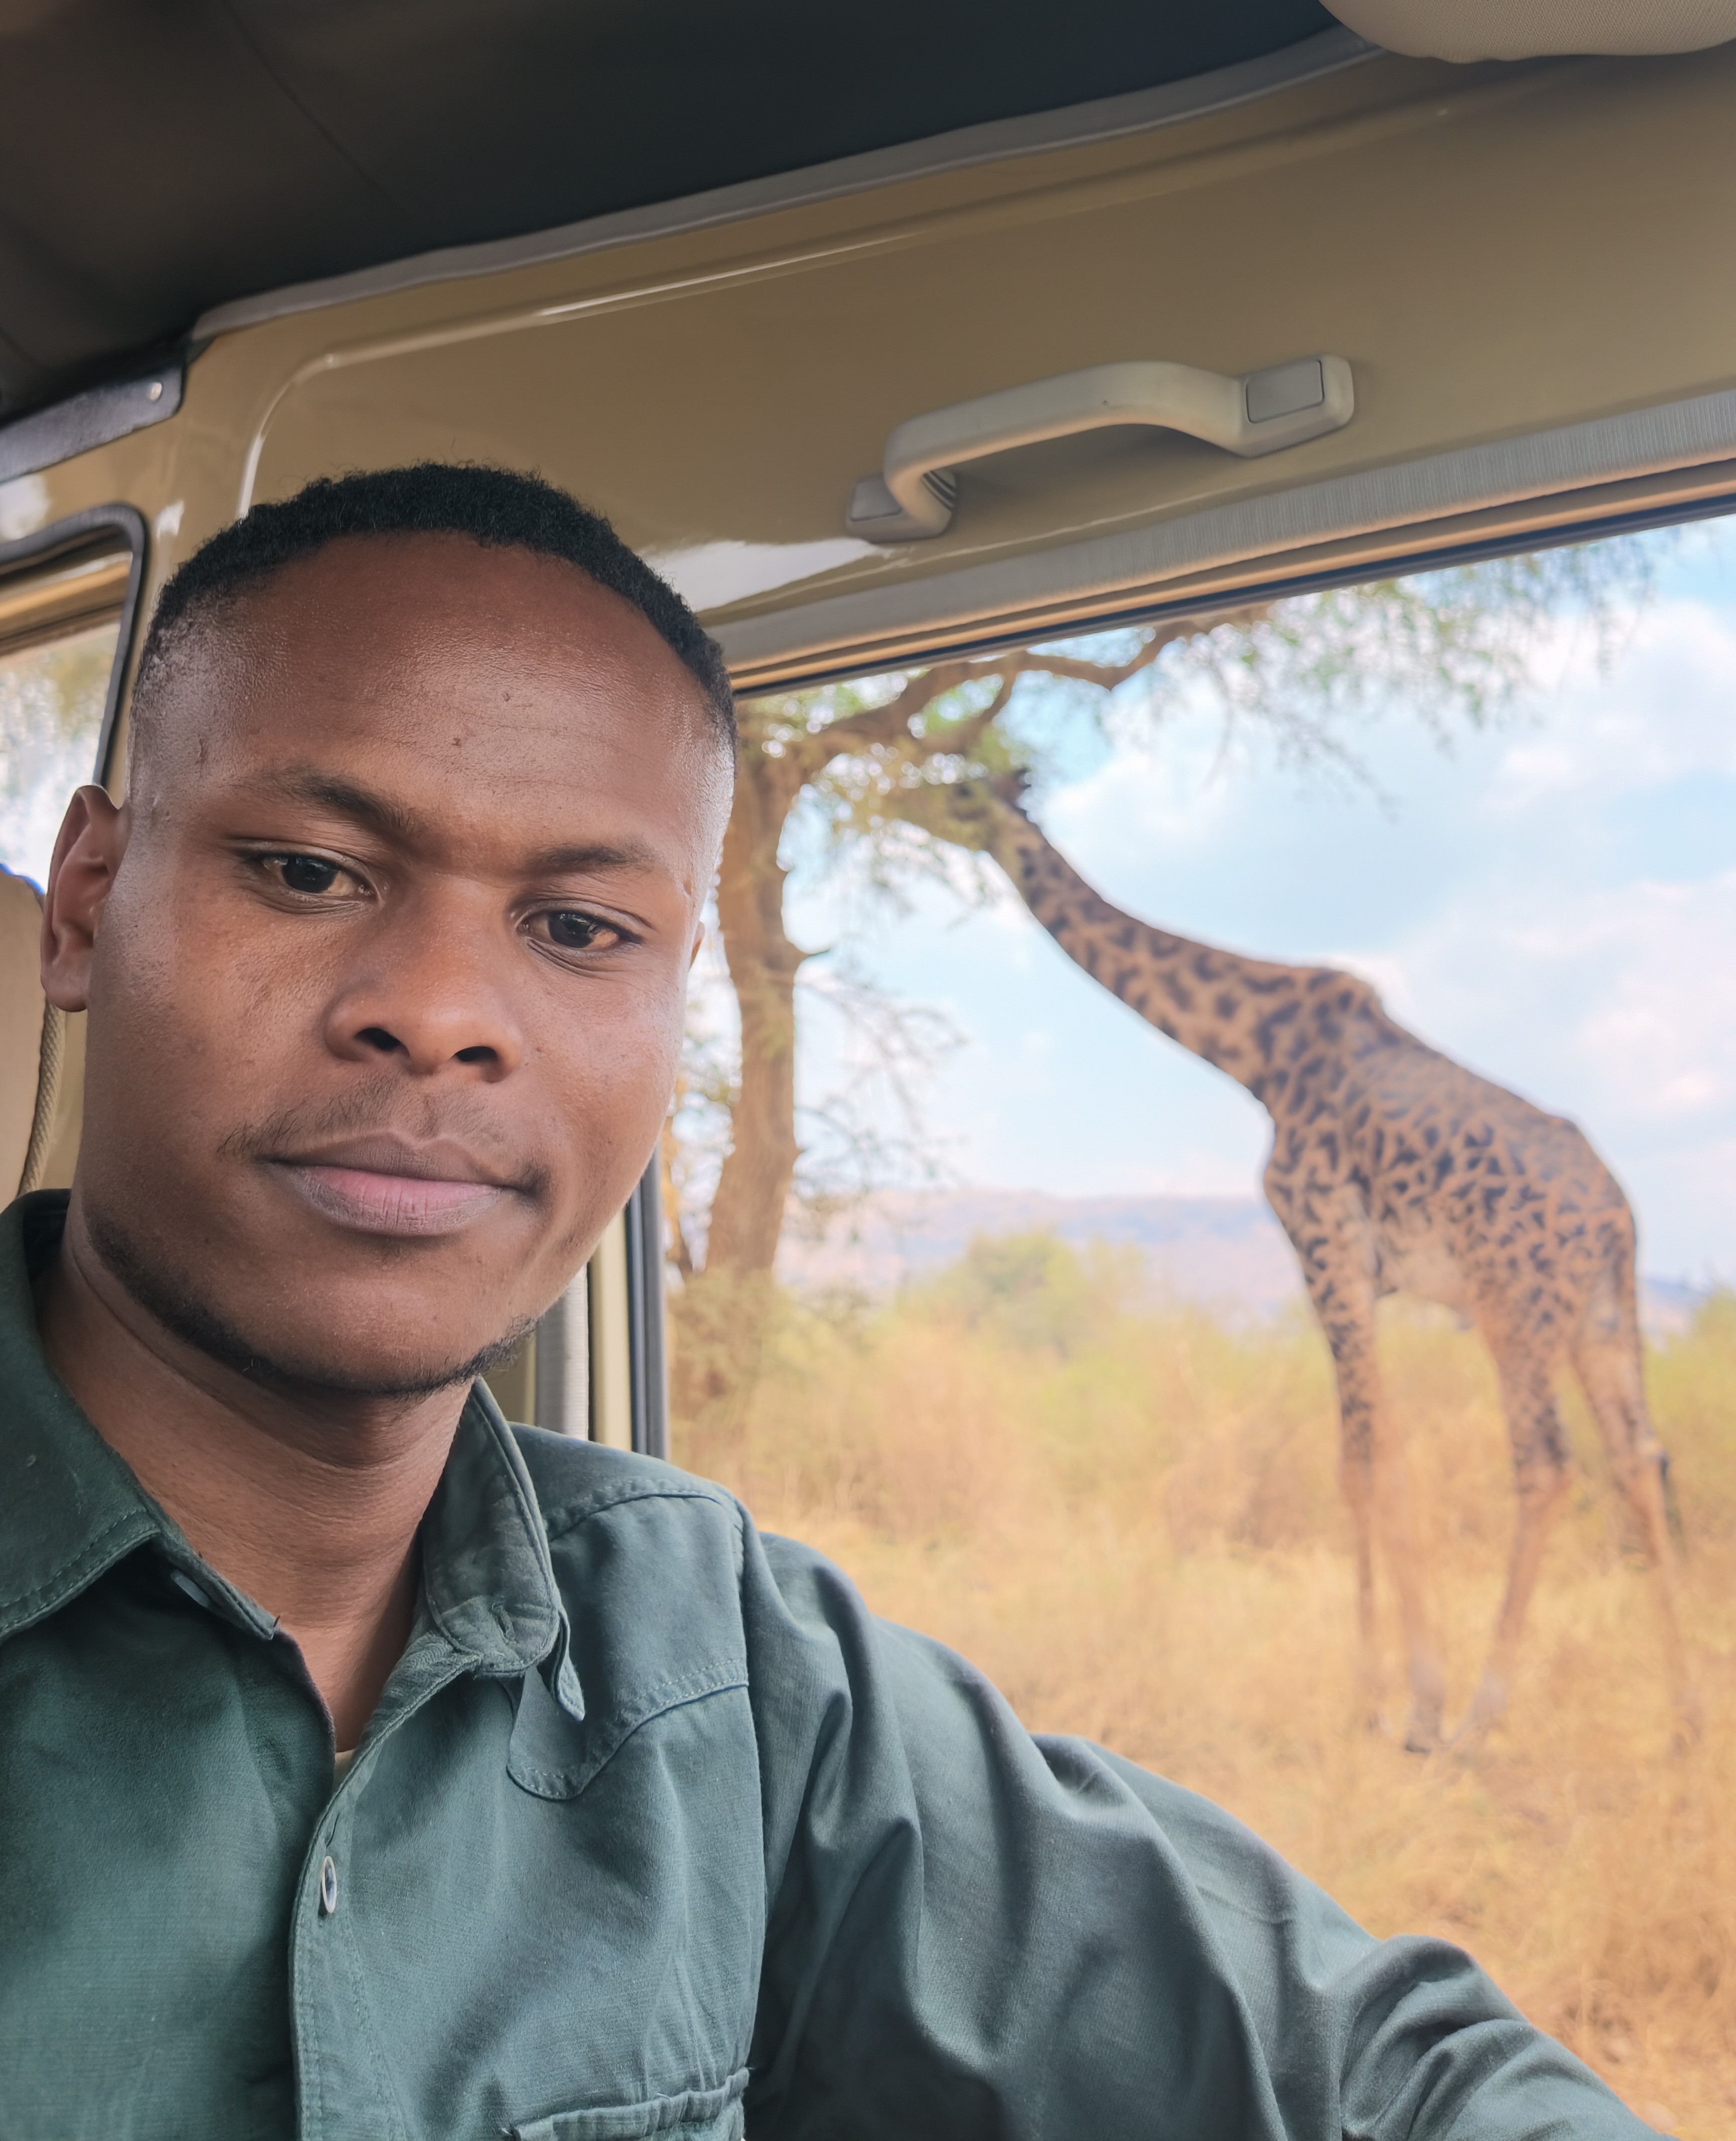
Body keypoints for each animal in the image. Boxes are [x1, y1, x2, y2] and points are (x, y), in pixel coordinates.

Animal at [924, 774, 1696, 1752]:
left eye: (955, 793)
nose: (903, 802)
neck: (1253, 1050)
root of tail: (1616, 1215)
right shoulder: (1363, 1271)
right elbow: (1386, 1447)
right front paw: (1408, 1694)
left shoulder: (1324, 1242)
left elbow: (1359, 1457)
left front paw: (1390, 1702)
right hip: (1602, 1313)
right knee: (1638, 1457)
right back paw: (1684, 1717)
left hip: (1514, 1306)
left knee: (1549, 1463)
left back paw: (1481, 1715)